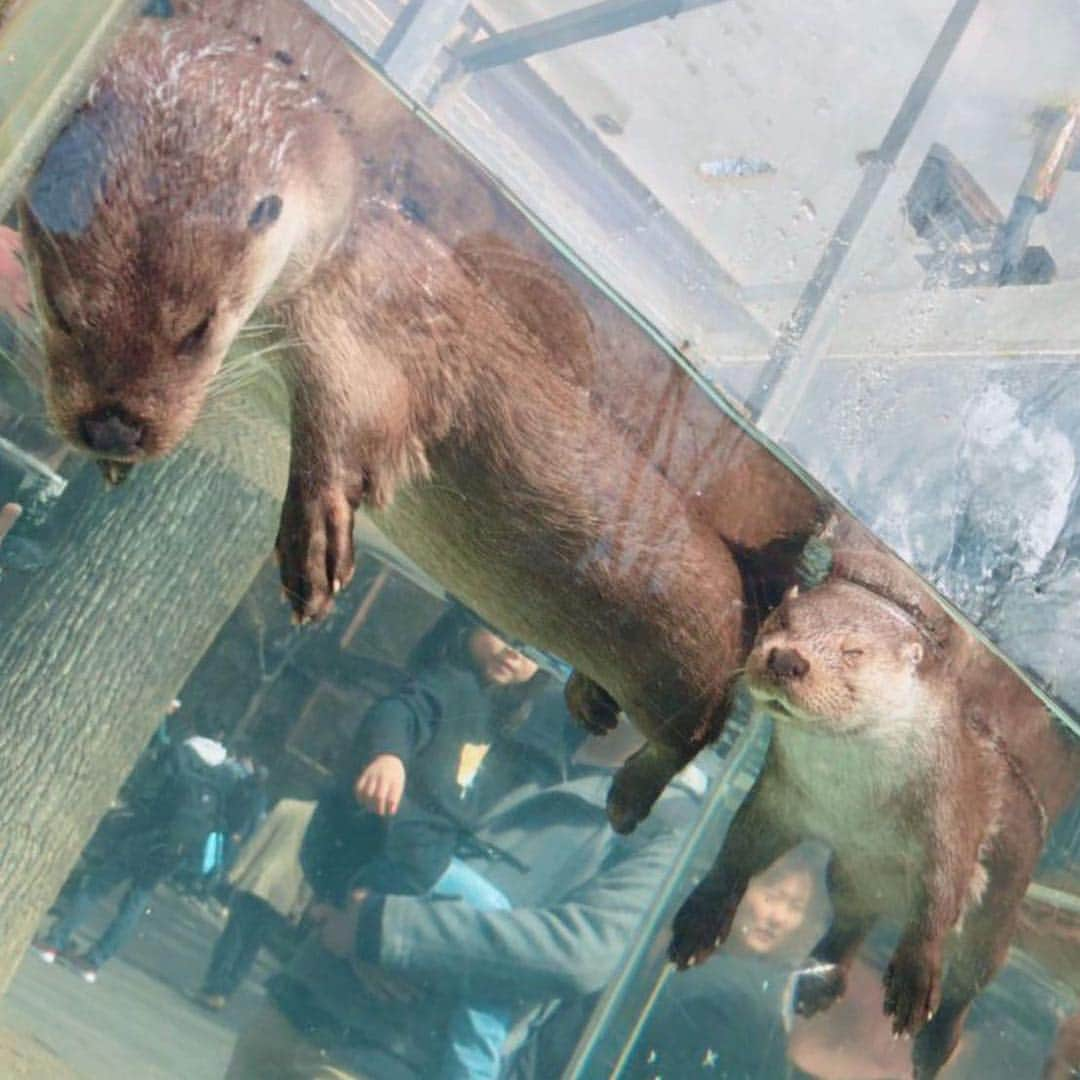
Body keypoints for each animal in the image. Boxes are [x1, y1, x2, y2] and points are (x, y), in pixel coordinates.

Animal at [14, 0, 816, 829]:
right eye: (63, 309)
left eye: (196, 329)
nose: (114, 425)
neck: (338, 235)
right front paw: (111, 463)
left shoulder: (363, 323)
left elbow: (350, 426)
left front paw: (314, 547)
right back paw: (589, 703)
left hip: (693, 654)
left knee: (698, 728)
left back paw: (629, 798)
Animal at [669, 518, 1075, 1075]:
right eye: (780, 619)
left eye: (853, 651)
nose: (787, 659)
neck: (856, 797)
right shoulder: (779, 797)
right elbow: (739, 849)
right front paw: (701, 919)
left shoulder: (950, 820)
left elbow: (938, 902)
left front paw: (913, 982)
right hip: (849, 874)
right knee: (851, 922)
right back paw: (817, 985)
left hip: (996, 923)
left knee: (967, 982)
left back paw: (933, 1047)